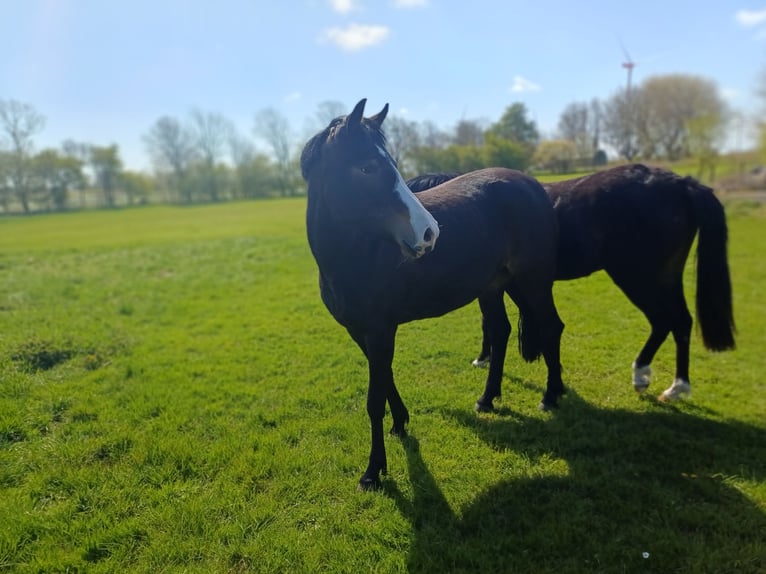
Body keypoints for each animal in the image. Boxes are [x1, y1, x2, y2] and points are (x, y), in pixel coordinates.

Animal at [301, 99, 565, 490]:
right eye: (366, 167)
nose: (429, 233)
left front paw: (373, 471)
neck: (355, 256)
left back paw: (551, 395)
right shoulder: (360, 331)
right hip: (498, 284)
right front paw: (400, 423)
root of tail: (532, 185)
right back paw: (488, 399)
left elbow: (374, 398)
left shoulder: (380, 330)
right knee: (501, 331)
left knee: (550, 327)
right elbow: (385, 379)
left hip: (533, 280)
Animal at [407, 164, 736, 402]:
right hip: (666, 278)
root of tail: (681, 183)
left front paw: (485, 360)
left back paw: (656, 379)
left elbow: (493, 323)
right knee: (679, 322)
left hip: (637, 278)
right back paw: (671, 384)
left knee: (665, 320)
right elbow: (495, 323)